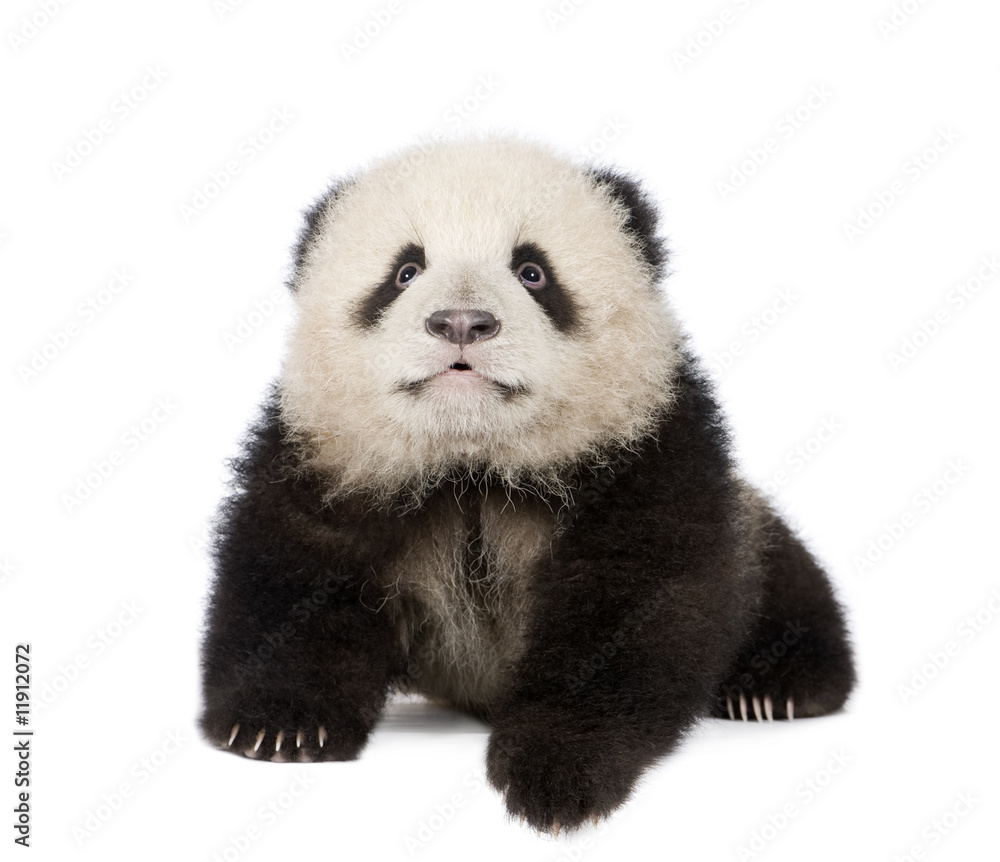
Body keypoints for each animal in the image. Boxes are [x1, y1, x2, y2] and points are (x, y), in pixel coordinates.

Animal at [199, 134, 856, 833]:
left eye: (532, 271)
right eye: (405, 272)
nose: (462, 322)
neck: (473, 462)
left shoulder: (645, 449)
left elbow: (629, 604)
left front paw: (558, 769)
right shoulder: (330, 453)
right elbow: (293, 569)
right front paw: (280, 726)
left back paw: (778, 686)